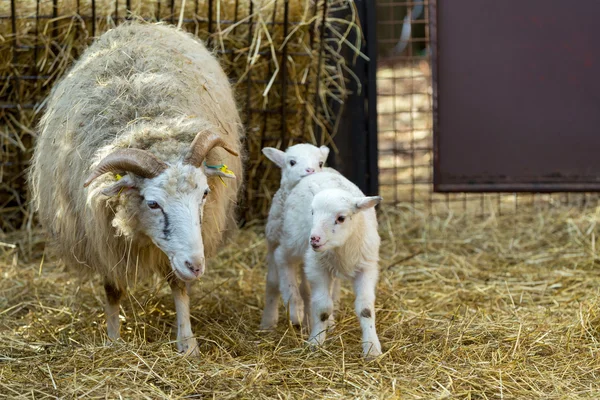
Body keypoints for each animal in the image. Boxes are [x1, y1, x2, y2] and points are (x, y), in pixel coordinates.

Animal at [28, 21, 244, 356]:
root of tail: (138, 24)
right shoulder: (102, 238)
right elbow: (112, 290)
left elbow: (179, 286)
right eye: (153, 204)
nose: (196, 266)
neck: (147, 122)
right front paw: (113, 339)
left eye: (205, 194)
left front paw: (188, 343)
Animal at [258, 143, 332, 328]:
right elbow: (273, 283)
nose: (310, 170)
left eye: (320, 163)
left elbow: (307, 290)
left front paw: (304, 319)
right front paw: (269, 322)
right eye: (291, 162)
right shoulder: (273, 244)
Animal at [278, 170, 384, 358]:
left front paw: (371, 348)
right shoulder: (316, 267)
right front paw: (316, 342)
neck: (342, 248)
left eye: (341, 218)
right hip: (293, 238)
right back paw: (294, 305)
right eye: (312, 212)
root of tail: (322, 171)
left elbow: (365, 308)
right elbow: (323, 308)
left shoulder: (367, 268)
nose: (314, 239)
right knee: (282, 258)